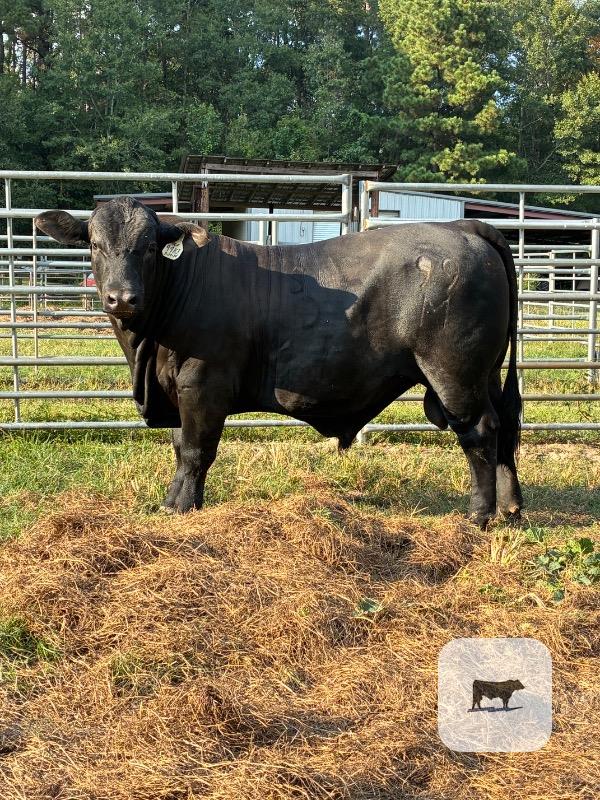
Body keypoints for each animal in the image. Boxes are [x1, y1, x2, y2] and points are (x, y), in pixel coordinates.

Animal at [35, 196, 523, 528]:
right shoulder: (177, 391)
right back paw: (511, 508)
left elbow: (196, 450)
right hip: (486, 373)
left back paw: (478, 516)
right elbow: (180, 447)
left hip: (454, 373)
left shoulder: (203, 385)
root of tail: (462, 226)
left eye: (149, 248)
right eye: (94, 245)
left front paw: (182, 507)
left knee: (479, 432)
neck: (147, 347)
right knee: (505, 426)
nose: (122, 298)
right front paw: (177, 502)